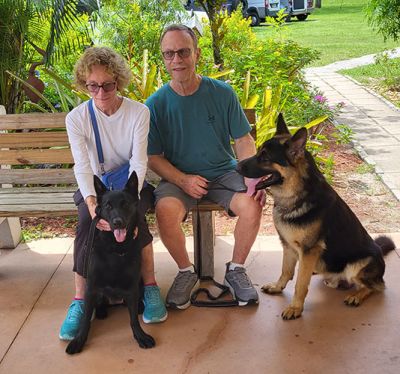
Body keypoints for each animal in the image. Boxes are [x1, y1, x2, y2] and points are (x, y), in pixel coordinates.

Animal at [65, 172, 155, 354]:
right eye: (108, 206)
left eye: (125, 204)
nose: (117, 222)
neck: (115, 248)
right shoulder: (91, 287)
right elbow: (86, 320)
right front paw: (79, 340)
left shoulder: (132, 288)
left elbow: (133, 319)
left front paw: (140, 336)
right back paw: (100, 311)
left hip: (139, 283)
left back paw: (140, 306)